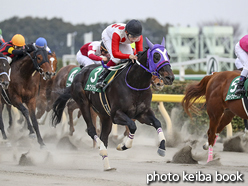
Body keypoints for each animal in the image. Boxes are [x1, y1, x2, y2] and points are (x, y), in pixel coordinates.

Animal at [51, 37, 174, 170]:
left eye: (168, 56)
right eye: (156, 56)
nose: (169, 78)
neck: (135, 84)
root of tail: (77, 75)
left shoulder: (142, 114)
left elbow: (157, 123)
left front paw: (162, 148)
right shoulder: (116, 114)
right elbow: (132, 126)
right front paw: (123, 145)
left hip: (104, 115)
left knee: (103, 137)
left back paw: (107, 165)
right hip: (83, 103)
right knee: (90, 129)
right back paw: (99, 149)